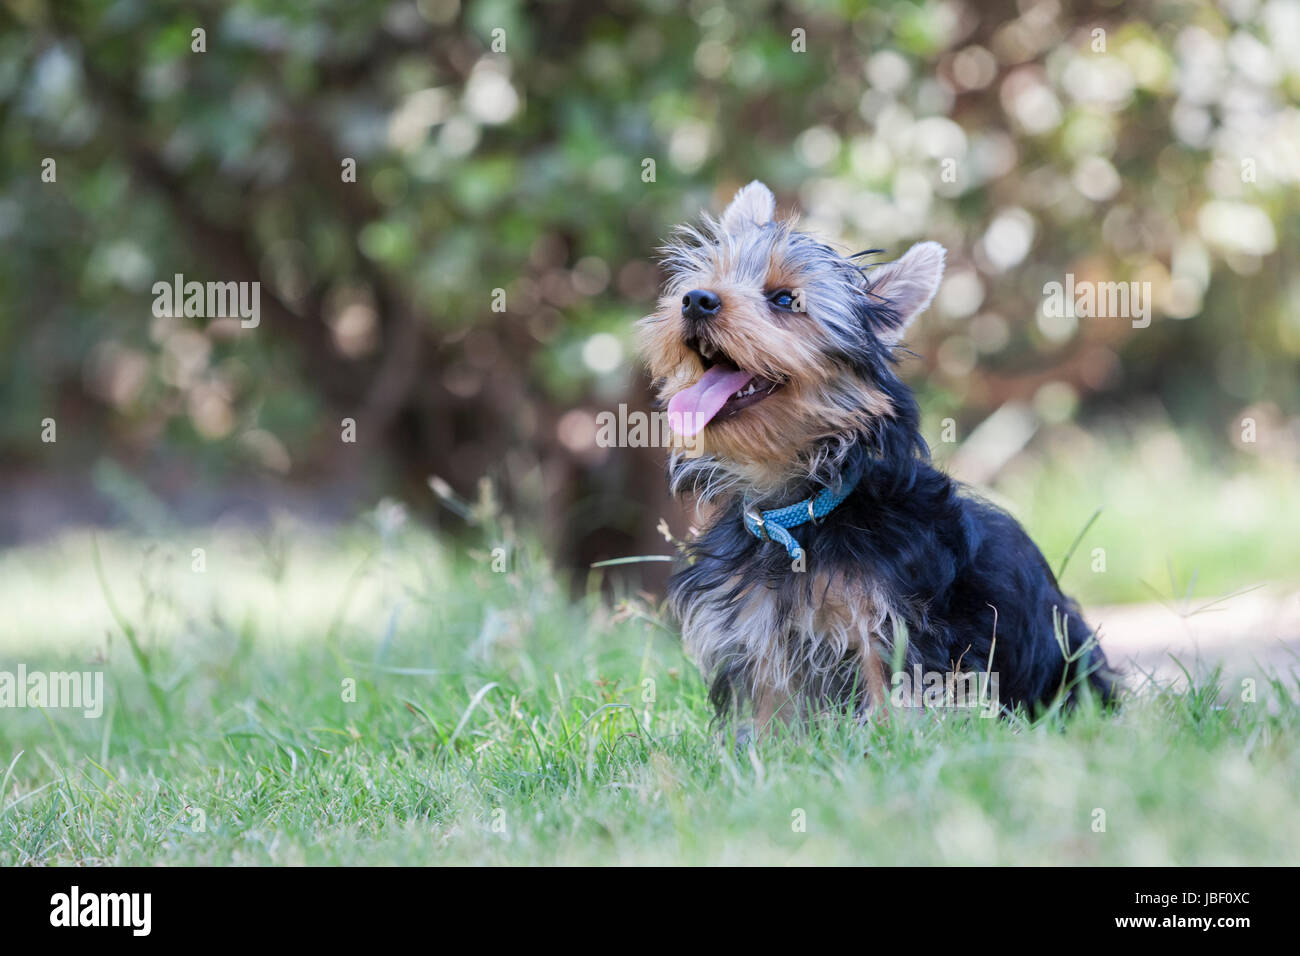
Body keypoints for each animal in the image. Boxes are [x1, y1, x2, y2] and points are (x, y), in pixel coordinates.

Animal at [637, 180, 1118, 733]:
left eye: (785, 300)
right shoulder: (758, 633)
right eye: (706, 280)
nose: (696, 300)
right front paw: (762, 749)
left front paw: (893, 744)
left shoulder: (890, 622)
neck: (798, 507)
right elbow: (768, 709)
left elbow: (893, 695)